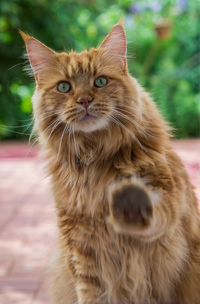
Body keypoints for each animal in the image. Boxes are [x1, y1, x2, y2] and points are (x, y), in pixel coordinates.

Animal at [19, 22, 200, 304]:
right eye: (64, 87)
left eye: (100, 82)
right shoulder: (80, 247)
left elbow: (153, 215)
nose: (84, 100)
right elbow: (91, 293)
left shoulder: (169, 200)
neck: (94, 155)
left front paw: (128, 201)